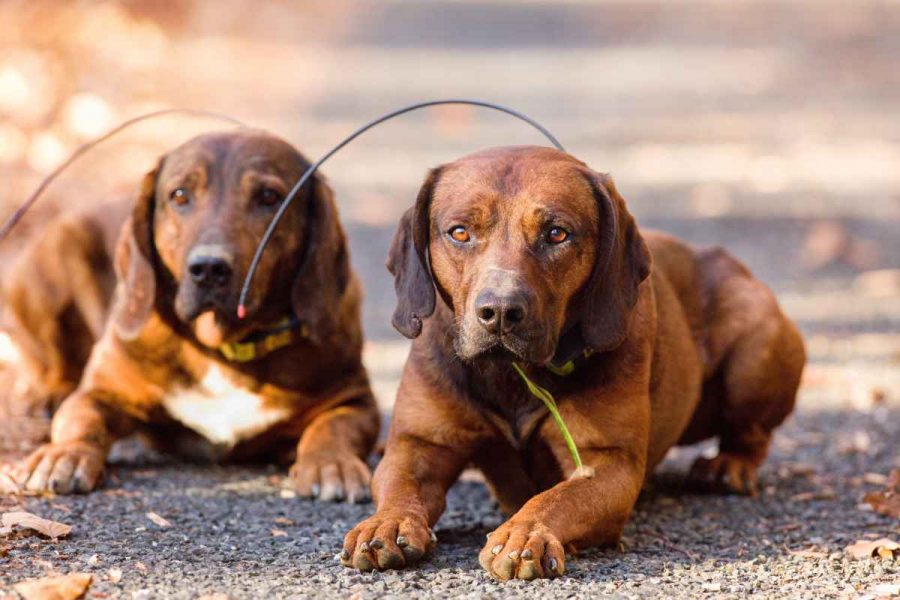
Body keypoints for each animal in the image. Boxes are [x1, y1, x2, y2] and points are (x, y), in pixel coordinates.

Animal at [15, 131, 380, 502]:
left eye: (268, 197)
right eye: (179, 195)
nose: (209, 269)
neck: (223, 347)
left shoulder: (355, 399)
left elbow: (332, 427)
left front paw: (331, 462)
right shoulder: (101, 392)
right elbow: (81, 418)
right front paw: (65, 454)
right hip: (59, 250)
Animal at [342, 146, 804, 580]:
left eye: (556, 233)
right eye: (459, 232)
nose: (500, 311)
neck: (512, 374)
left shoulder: (607, 462)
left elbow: (555, 497)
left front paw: (523, 533)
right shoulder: (420, 443)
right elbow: (398, 485)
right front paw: (384, 524)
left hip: (756, 349)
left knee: (752, 432)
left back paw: (729, 465)